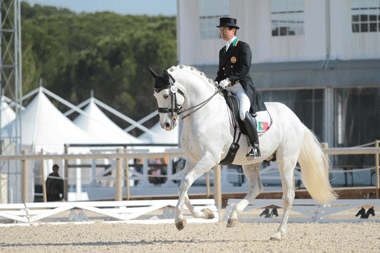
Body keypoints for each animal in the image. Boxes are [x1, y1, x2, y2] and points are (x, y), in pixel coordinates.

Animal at [150, 64, 336, 240]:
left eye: (166, 95)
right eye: (155, 96)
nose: (166, 125)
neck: (205, 113)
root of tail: (295, 118)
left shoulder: (209, 158)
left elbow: (187, 181)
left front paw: (179, 220)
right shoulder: (193, 158)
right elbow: (183, 186)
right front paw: (206, 214)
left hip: (286, 160)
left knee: (288, 195)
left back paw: (278, 233)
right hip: (251, 163)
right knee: (256, 188)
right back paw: (233, 217)